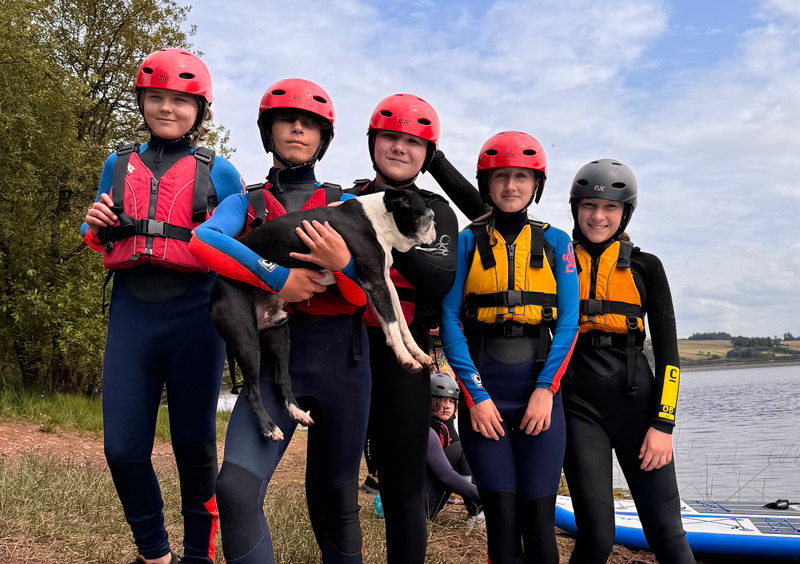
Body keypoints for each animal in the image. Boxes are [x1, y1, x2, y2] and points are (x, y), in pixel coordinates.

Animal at [209, 187, 434, 438]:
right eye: (430, 218)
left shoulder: (384, 281)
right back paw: (270, 428)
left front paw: (417, 352)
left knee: (281, 378)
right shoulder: (375, 282)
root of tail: (217, 283)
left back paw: (297, 412)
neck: (379, 219)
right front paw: (405, 358)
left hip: (279, 333)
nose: (435, 234)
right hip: (246, 341)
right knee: (251, 390)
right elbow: (392, 323)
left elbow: (400, 321)